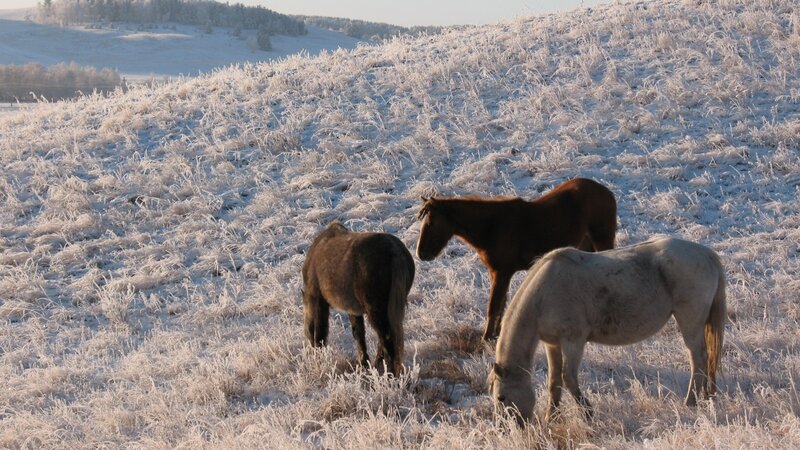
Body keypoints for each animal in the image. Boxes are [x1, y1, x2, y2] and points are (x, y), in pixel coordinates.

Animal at [302, 221, 415, 376]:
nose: (309, 353)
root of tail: (394, 252)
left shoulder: (318, 300)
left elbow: (320, 333)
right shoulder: (353, 310)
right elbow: (359, 334)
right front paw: (363, 364)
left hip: (376, 311)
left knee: (387, 339)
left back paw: (389, 374)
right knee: (385, 339)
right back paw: (378, 367)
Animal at [416, 178, 617, 341]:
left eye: (431, 223)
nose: (421, 253)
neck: (492, 227)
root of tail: (607, 192)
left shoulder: (502, 272)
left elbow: (494, 306)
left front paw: (486, 339)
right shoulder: (498, 273)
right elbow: (501, 304)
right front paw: (495, 335)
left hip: (602, 240)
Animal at [487, 237, 726, 425]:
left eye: (501, 397)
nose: (505, 429)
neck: (544, 295)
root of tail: (706, 253)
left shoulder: (573, 342)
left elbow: (568, 378)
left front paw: (587, 414)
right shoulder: (552, 344)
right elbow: (554, 382)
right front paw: (551, 418)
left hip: (690, 321)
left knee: (698, 359)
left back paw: (691, 402)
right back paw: (705, 397)